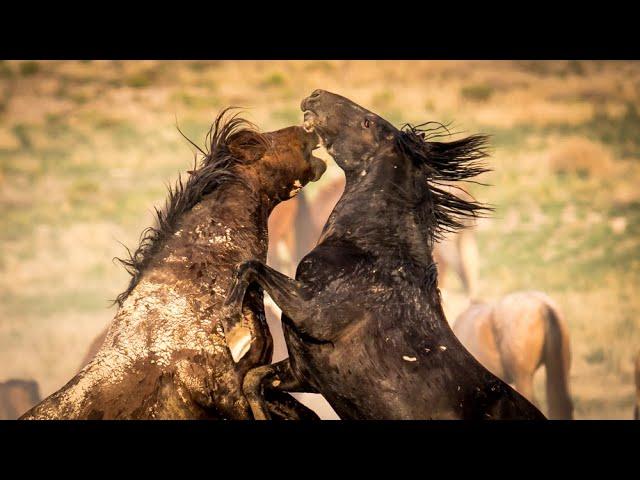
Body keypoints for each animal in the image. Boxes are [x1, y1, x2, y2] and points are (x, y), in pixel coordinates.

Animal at [222, 90, 544, 420]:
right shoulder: (304, 374)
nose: (315, 95)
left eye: (367, 122)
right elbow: (252, 379)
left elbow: (251, 268)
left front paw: (232, 323)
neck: (371, 247)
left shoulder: (312, 312)